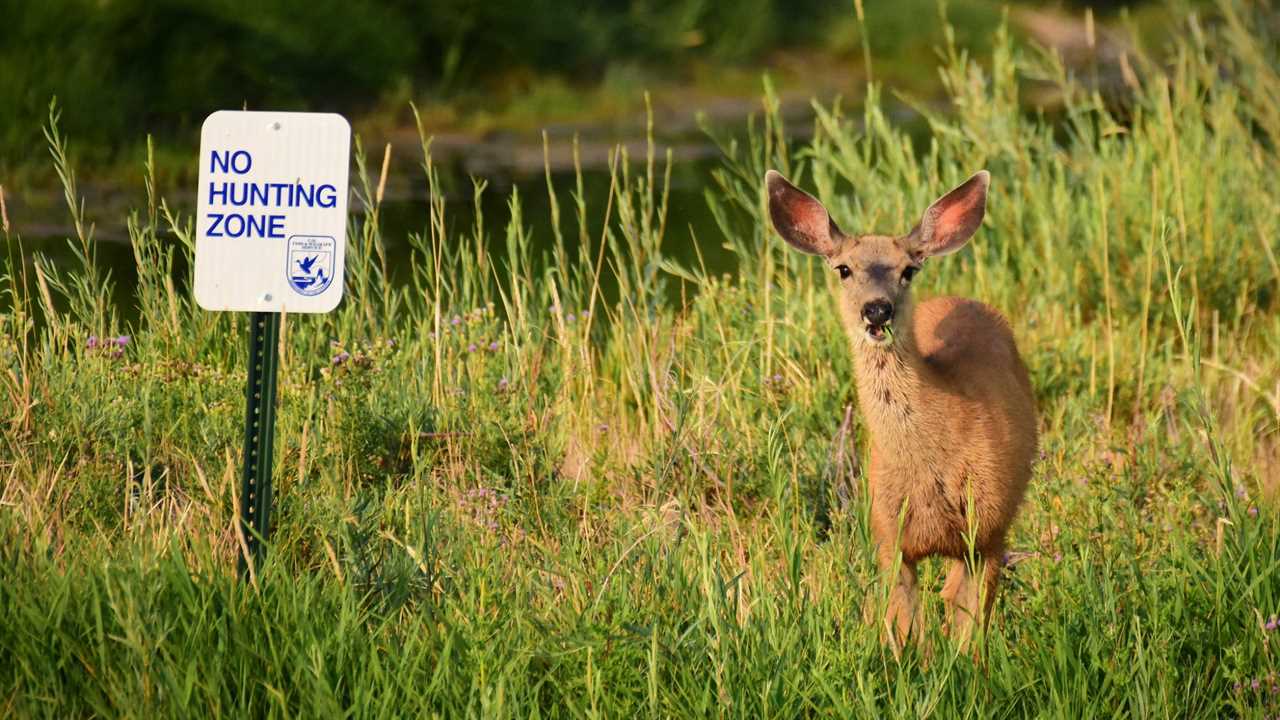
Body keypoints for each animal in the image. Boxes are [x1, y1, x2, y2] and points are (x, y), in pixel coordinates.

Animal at [762, 169, 1034, 655]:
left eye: (908, 269)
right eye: (843, 268)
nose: (877, 310)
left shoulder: (987, 529)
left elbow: (969, 637)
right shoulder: (889, 537)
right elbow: (906, 634)